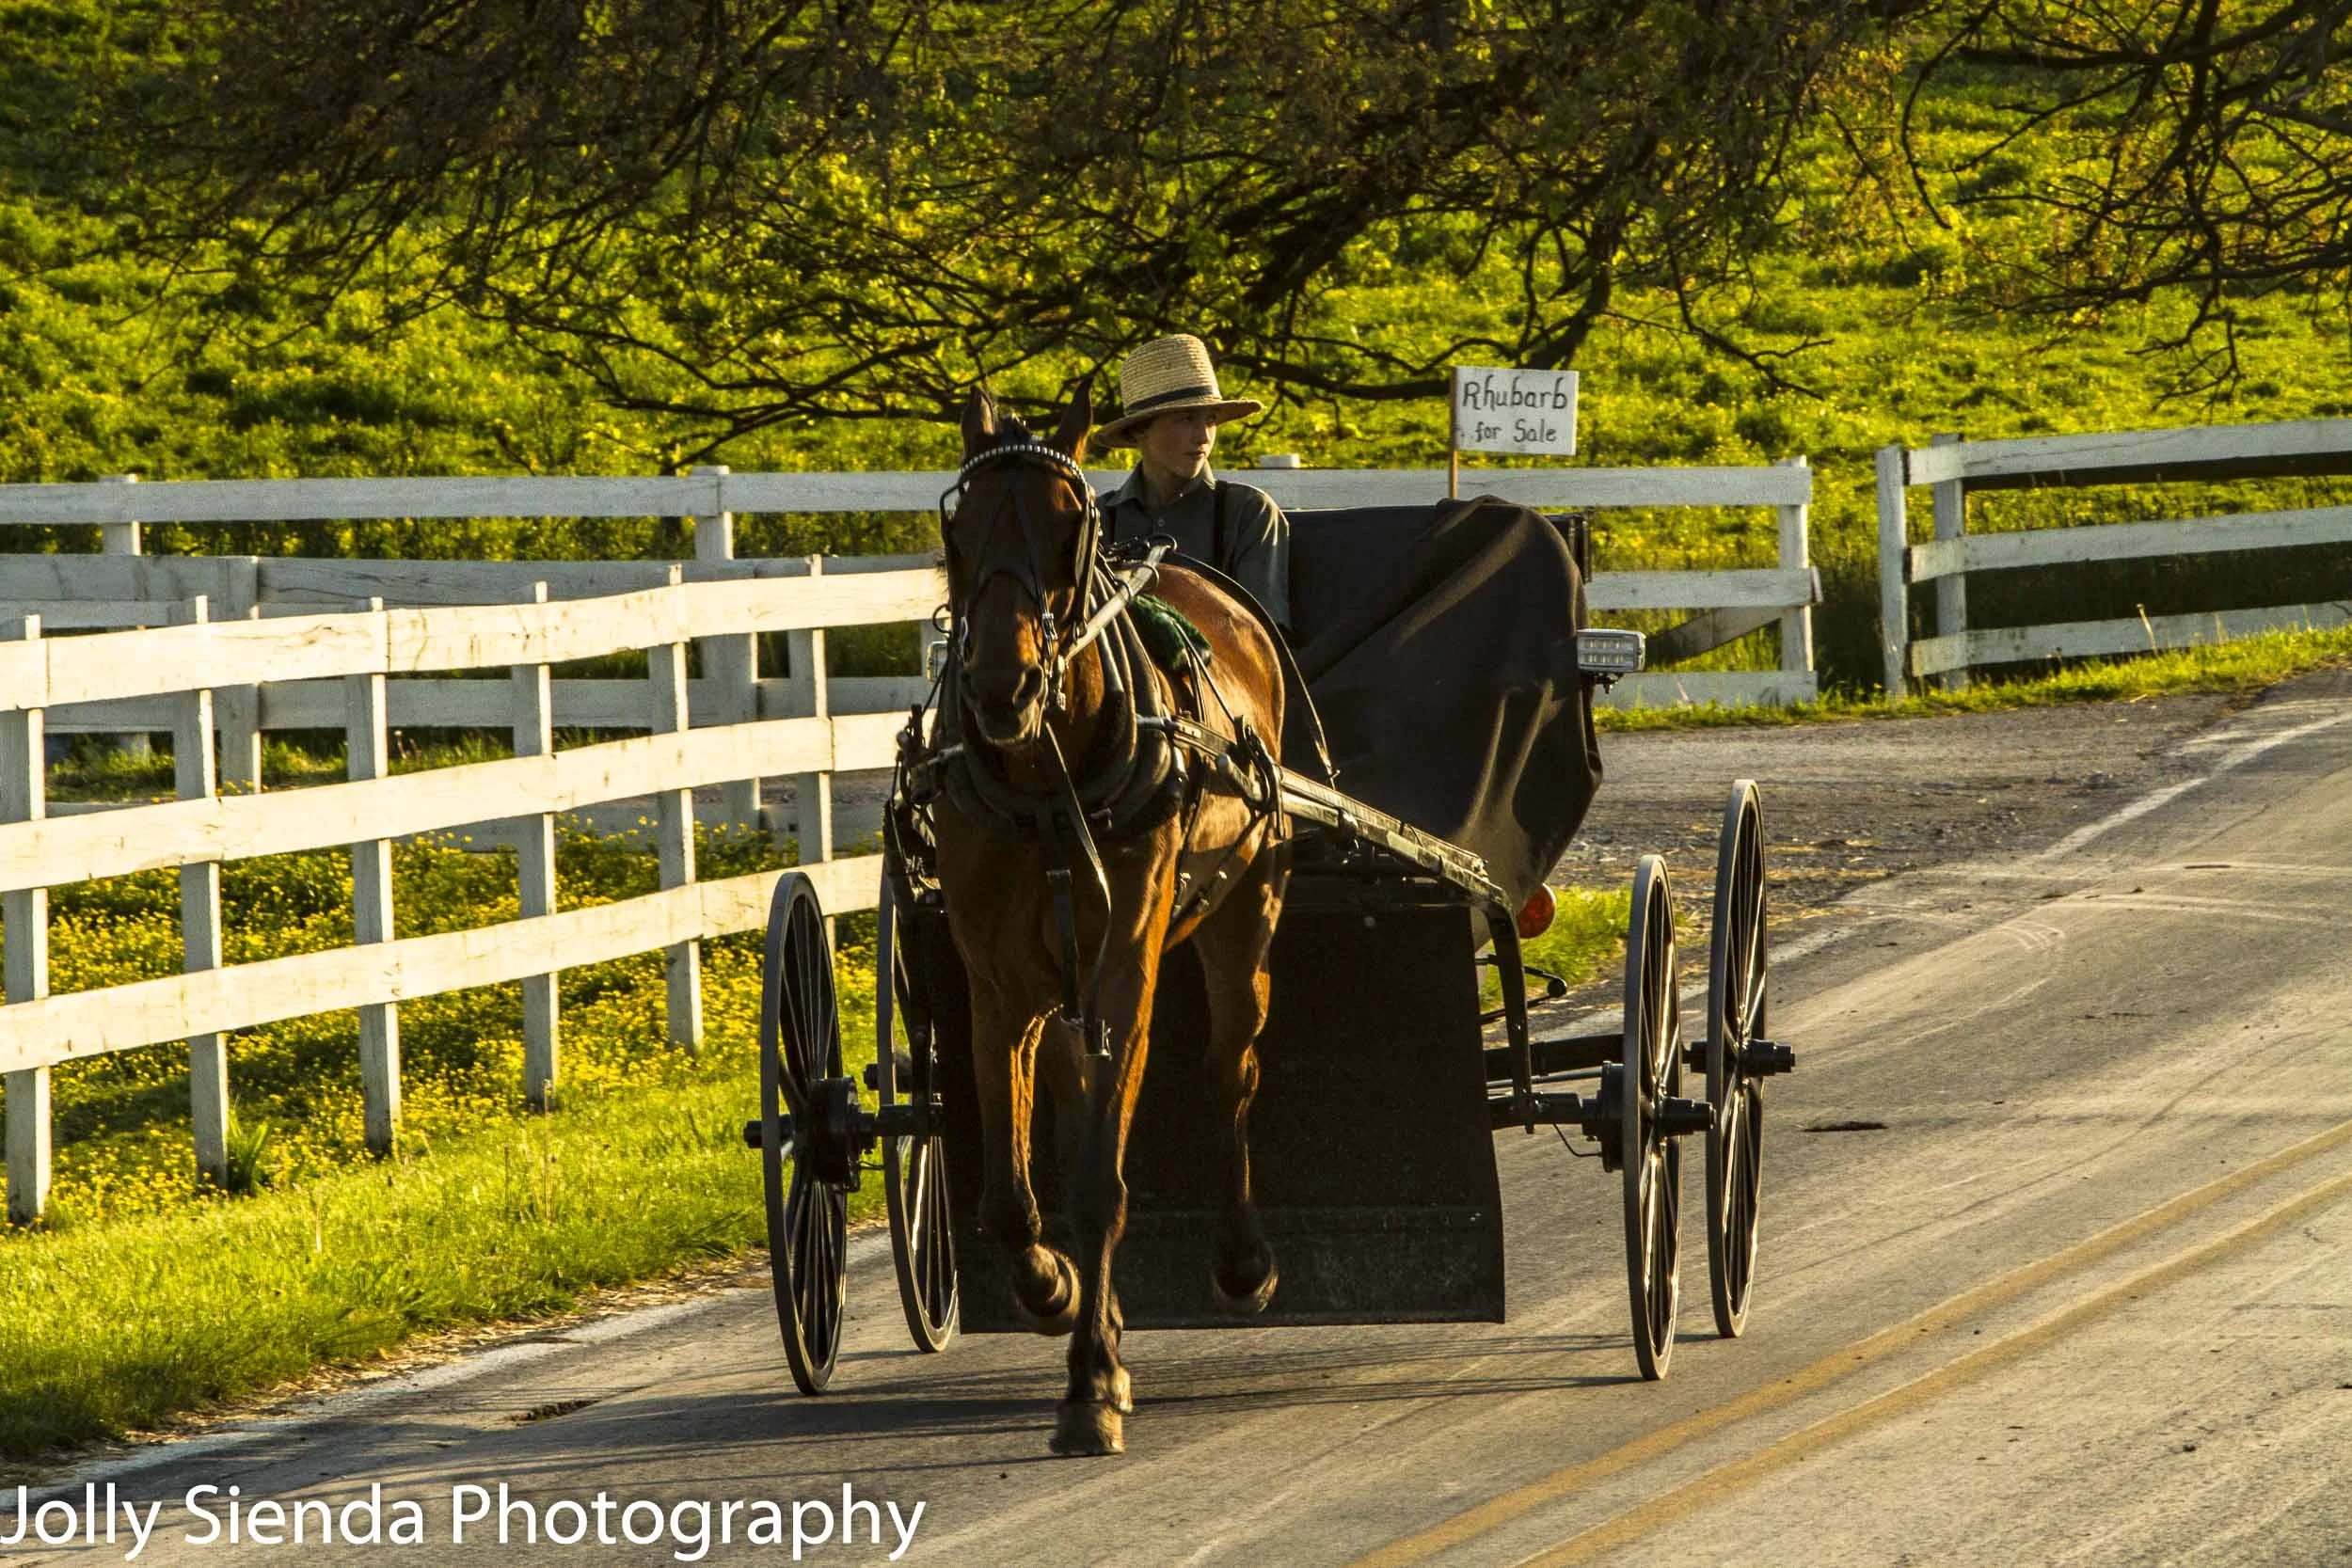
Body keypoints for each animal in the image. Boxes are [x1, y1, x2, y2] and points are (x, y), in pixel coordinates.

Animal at [927, 382, 1291, 1456]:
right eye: (956, 526)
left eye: (1070, 523)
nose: (1000, 685)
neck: (1044, 778)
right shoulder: (993, 977)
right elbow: (1012, 1194)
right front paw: (1053, 1290)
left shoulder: (1127, 957)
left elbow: (1098, 1179)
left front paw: (1090, 1381)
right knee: (1071, 1086)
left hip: (1245, 909)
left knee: (1232, 1067)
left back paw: (1242, 1260)